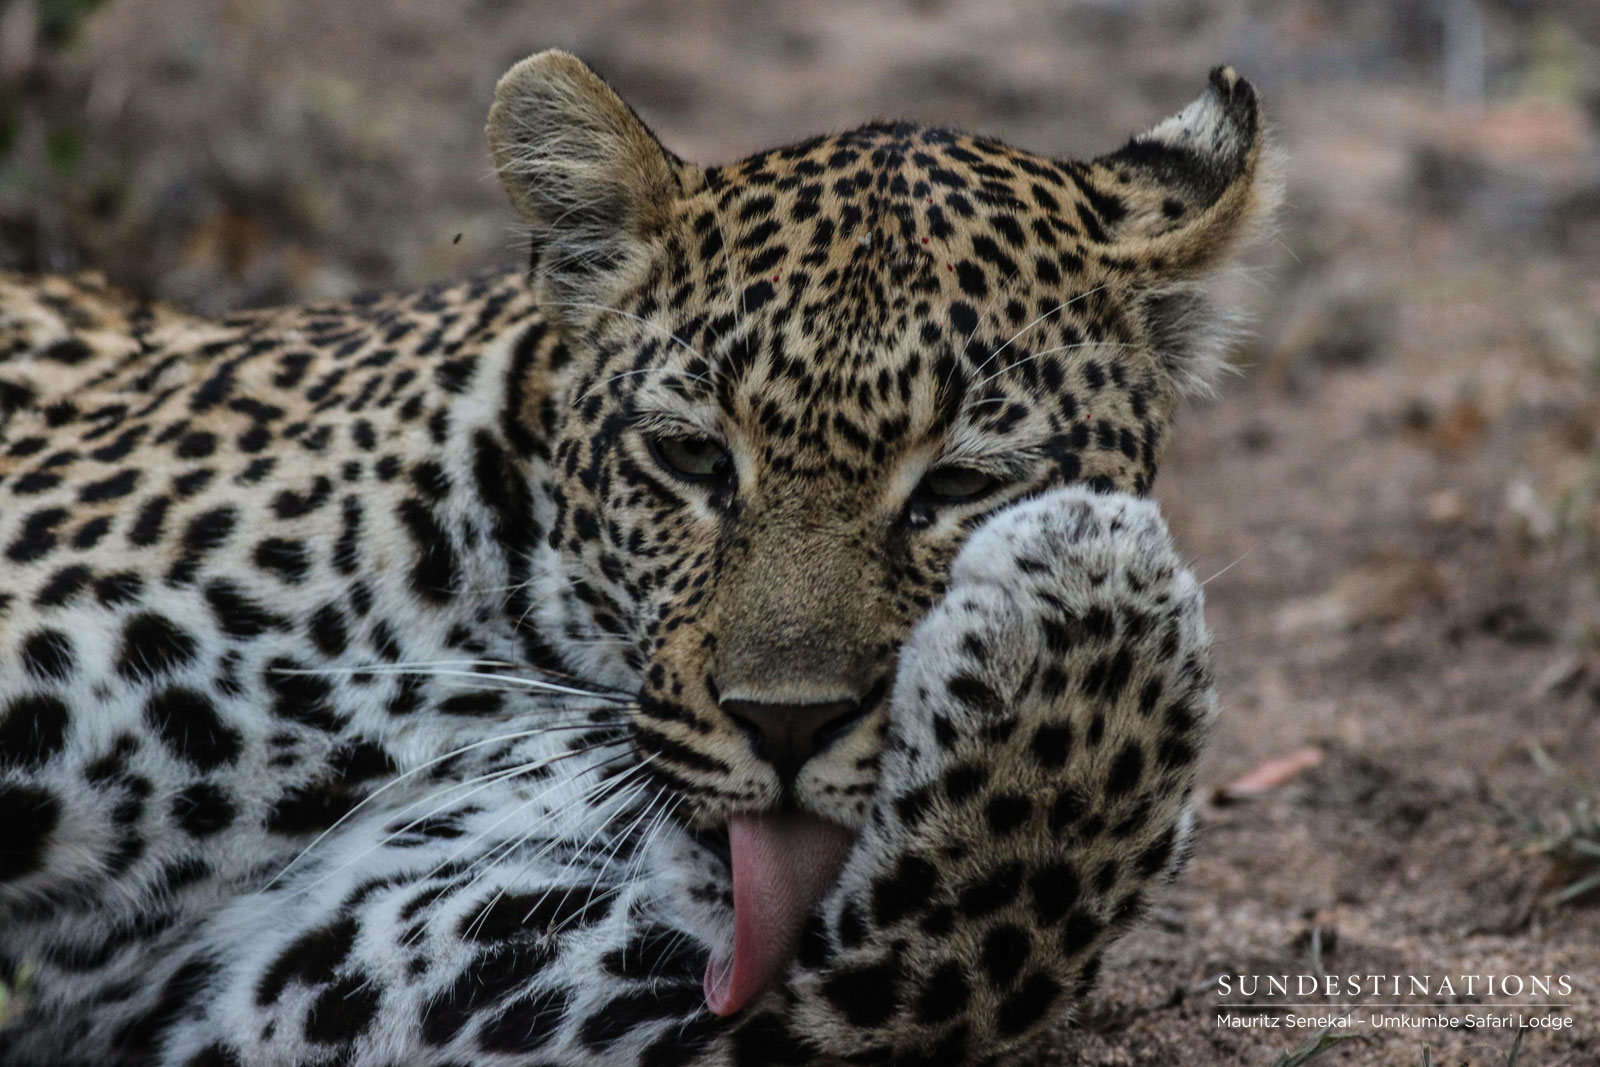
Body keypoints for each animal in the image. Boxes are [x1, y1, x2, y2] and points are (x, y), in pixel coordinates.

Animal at [0, 50, 1274, 1066]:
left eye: (959, 485)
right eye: (692, 457)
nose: (786, 726)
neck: (511, 641)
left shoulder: (398, 959)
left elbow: (945, 971)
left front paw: (1093, 615)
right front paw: (1099, 577)